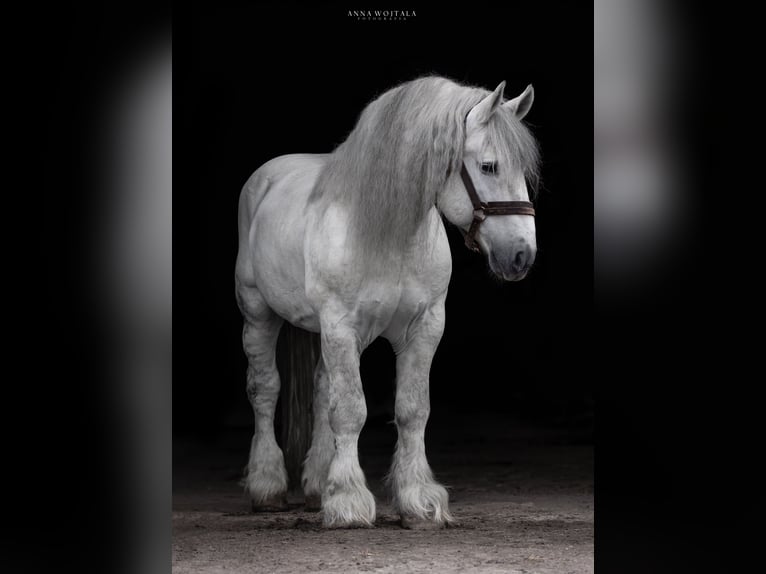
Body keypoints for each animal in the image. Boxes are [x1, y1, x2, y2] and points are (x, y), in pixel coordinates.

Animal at [235, 76, 540, 529]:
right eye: (489, 166)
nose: (522, 255)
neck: (389, 236)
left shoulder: (424, 328)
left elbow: (412, 409)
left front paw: (418, 501)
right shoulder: (341, 325)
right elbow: (350, 410)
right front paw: (348, 501)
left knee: (321, 389)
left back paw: (316, 485)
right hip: (260, 314)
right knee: (265, 389)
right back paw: (267, 485)